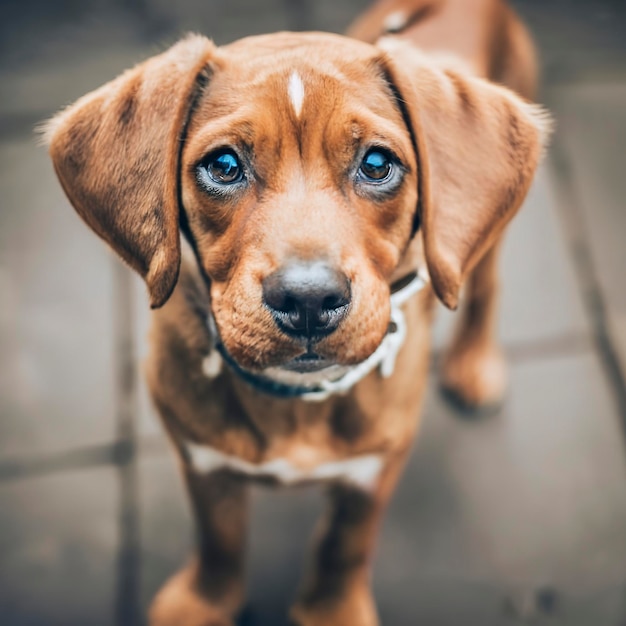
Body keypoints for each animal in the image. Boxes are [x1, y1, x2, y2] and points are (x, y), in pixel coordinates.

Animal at [45, 0, 544, 620]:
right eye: (224, 165)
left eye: (376, 163)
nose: (308, 300)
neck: (296, 400)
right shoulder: (202, 461)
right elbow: (219, 539)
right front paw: (204, 603)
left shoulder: (375, 469)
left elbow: (346, 546)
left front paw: (332, 612)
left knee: (486, 285)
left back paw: (473, 363)